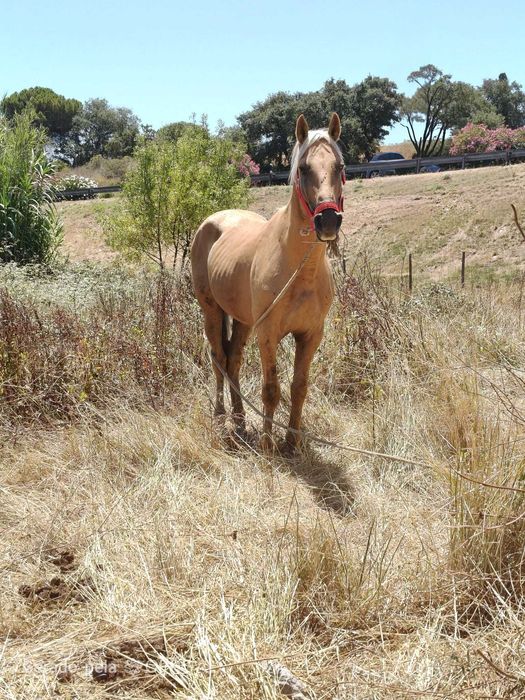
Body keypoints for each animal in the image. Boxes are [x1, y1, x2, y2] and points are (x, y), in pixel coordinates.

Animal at [191, 113, 345, 451]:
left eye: (340, 166)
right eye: (303, 168)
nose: (328, 221)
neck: (301, 272)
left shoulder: (310, 335)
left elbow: (299, 387)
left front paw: (292, 441)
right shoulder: (268, 335)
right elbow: (271, 389)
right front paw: (266, 444)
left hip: (243, 320)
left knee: (233, 360)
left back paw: (239, 419)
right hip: (212, 311)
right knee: (219, 360)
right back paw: (221, 417)